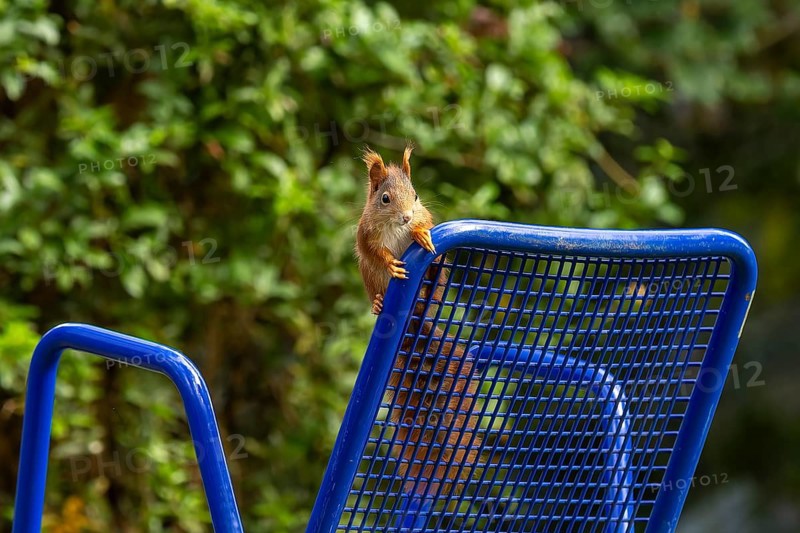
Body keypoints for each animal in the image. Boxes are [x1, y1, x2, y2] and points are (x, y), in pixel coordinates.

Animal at [355, 144, 482, 498]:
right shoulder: (366, 234)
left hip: (436, 283)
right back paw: (379, 303)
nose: (406, 217)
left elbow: (427, 224)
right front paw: (391, 261)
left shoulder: (424, 214)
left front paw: (420, 234)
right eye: (384, 198)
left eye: (415, 195)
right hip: (367, 276)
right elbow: (375, 251)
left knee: (432, 290)